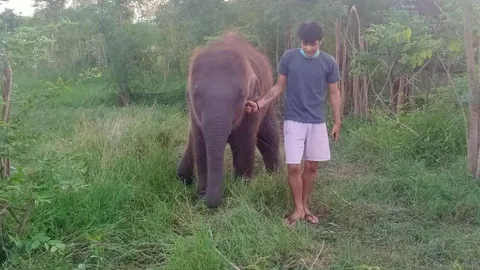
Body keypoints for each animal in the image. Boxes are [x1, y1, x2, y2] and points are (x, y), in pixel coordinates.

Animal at [176, 31, 282, 209]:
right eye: (196, 95)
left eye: (241, 96)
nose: (207, 202)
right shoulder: (193, 111)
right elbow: (201, 145)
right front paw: (201, 195)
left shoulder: (253, 104)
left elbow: (244, 142)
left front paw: (241, 191)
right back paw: (182, 178)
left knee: (269, 136)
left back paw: (274, 176)